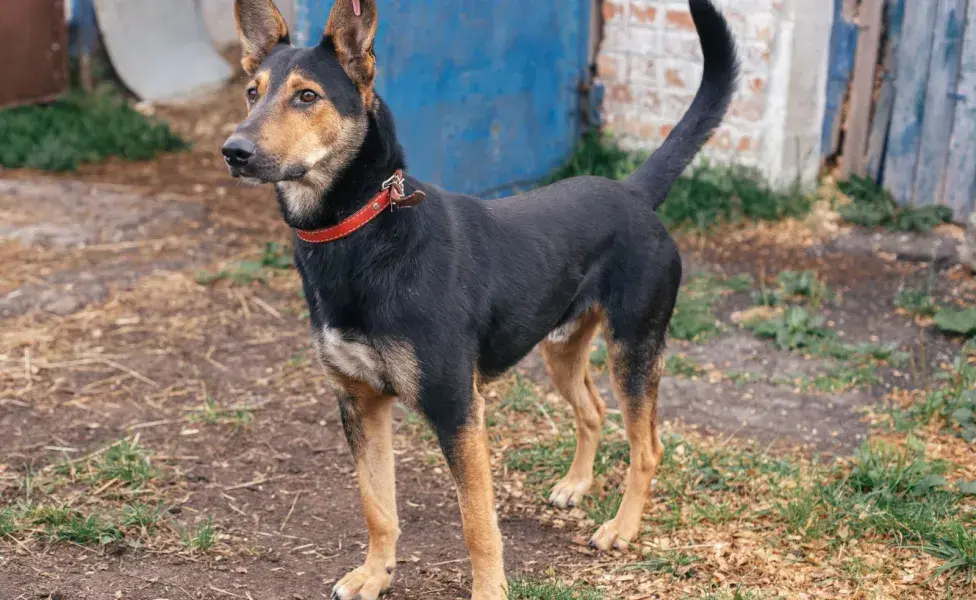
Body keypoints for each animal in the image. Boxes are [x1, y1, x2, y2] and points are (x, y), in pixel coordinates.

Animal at [223, 2, 740, 596]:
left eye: (307, 96)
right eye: (252, 93)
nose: (233, 151)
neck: (363, 230)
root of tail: (632, 192)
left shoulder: (457, 407)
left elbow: (477, 522)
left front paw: (489, 589)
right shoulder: (358, 401)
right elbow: (377, 505)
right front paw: (375, 575)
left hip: (634, 347)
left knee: (647, 446)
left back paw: (621, 529)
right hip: (560, 346)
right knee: (592, 409)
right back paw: (575, 485)